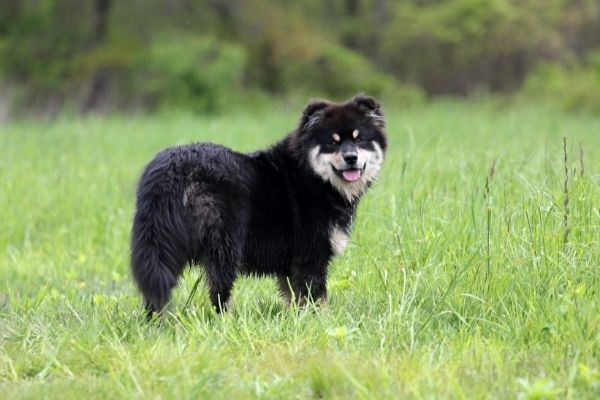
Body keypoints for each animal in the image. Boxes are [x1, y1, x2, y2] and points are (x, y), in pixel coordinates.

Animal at [129, 94, 386, 316]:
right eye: (332, 142)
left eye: (360, 139)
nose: (351, 158)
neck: (311, 176)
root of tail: (170, 171)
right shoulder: (311, 256)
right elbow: (316, 296)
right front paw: (320, 321)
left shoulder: (290, 266)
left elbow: (295, 298)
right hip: (225, 245)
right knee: (219, 292)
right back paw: (225, 321)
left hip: (161, 244)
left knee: (156, 290)